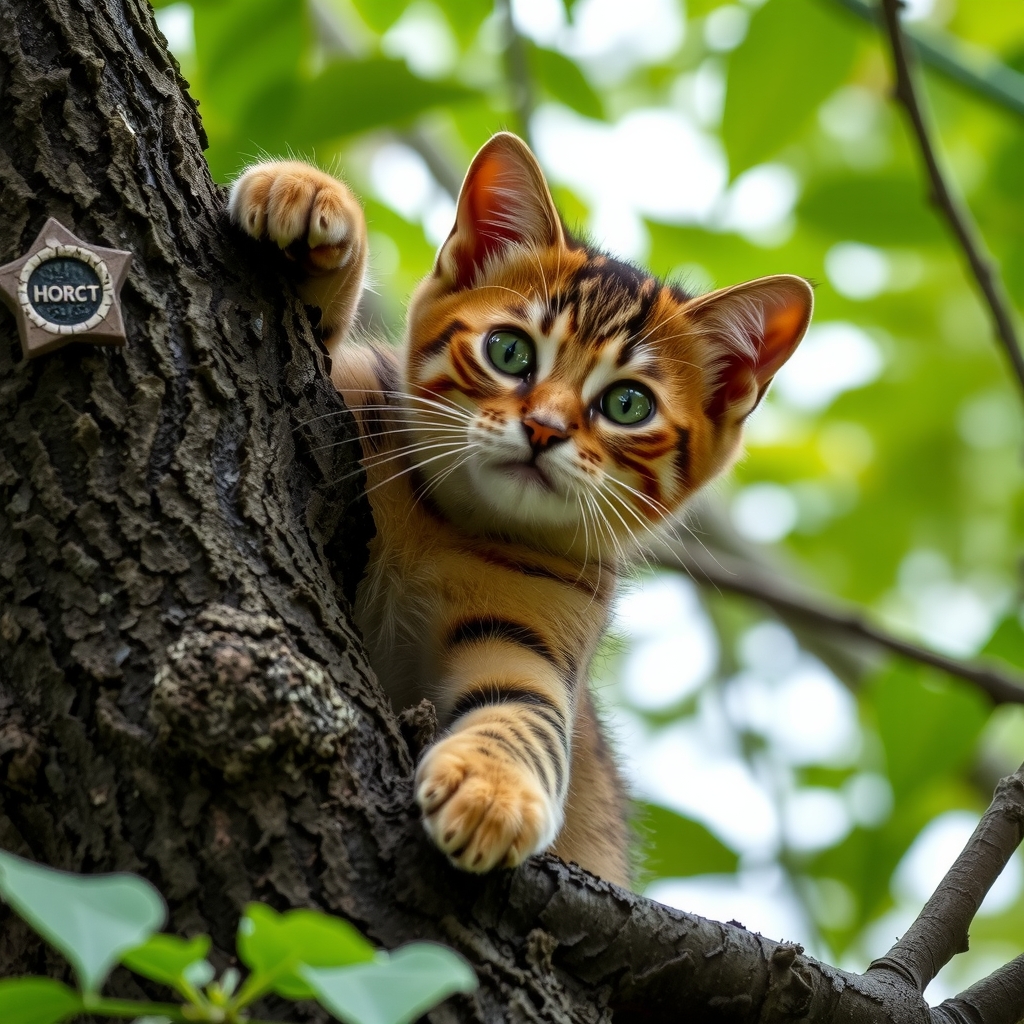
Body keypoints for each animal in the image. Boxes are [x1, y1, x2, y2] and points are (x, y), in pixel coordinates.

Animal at [228, 134, 811, 888]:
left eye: (628, 404)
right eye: (509, 351)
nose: (544, 428)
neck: (442, 522)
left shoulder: (537, 633)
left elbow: (524, 712)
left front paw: (492, 788)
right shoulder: (347, 399)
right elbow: (302, 346)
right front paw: (308, 202)